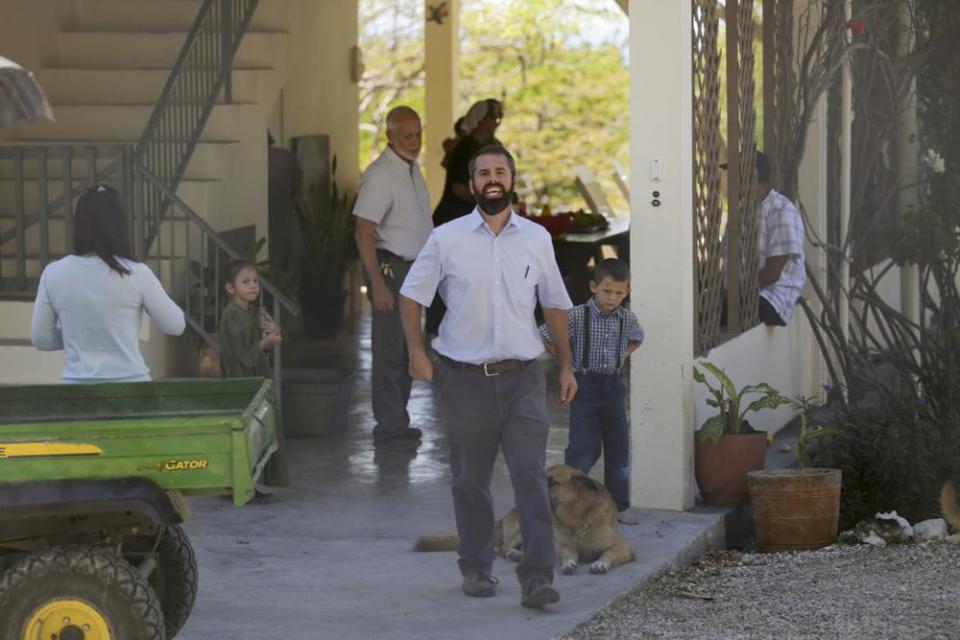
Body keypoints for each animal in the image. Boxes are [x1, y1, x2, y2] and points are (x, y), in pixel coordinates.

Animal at [414, 462, 632, 572]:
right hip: (523, 527)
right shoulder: (564, 546)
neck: (576, 520)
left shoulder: (625, 547)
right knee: (501, 548)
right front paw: (569, 562)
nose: (527, 491)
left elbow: (609, 553)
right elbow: (569, 552)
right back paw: (515, 554)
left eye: (552, 482)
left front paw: (601, 562)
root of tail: (505, 516)